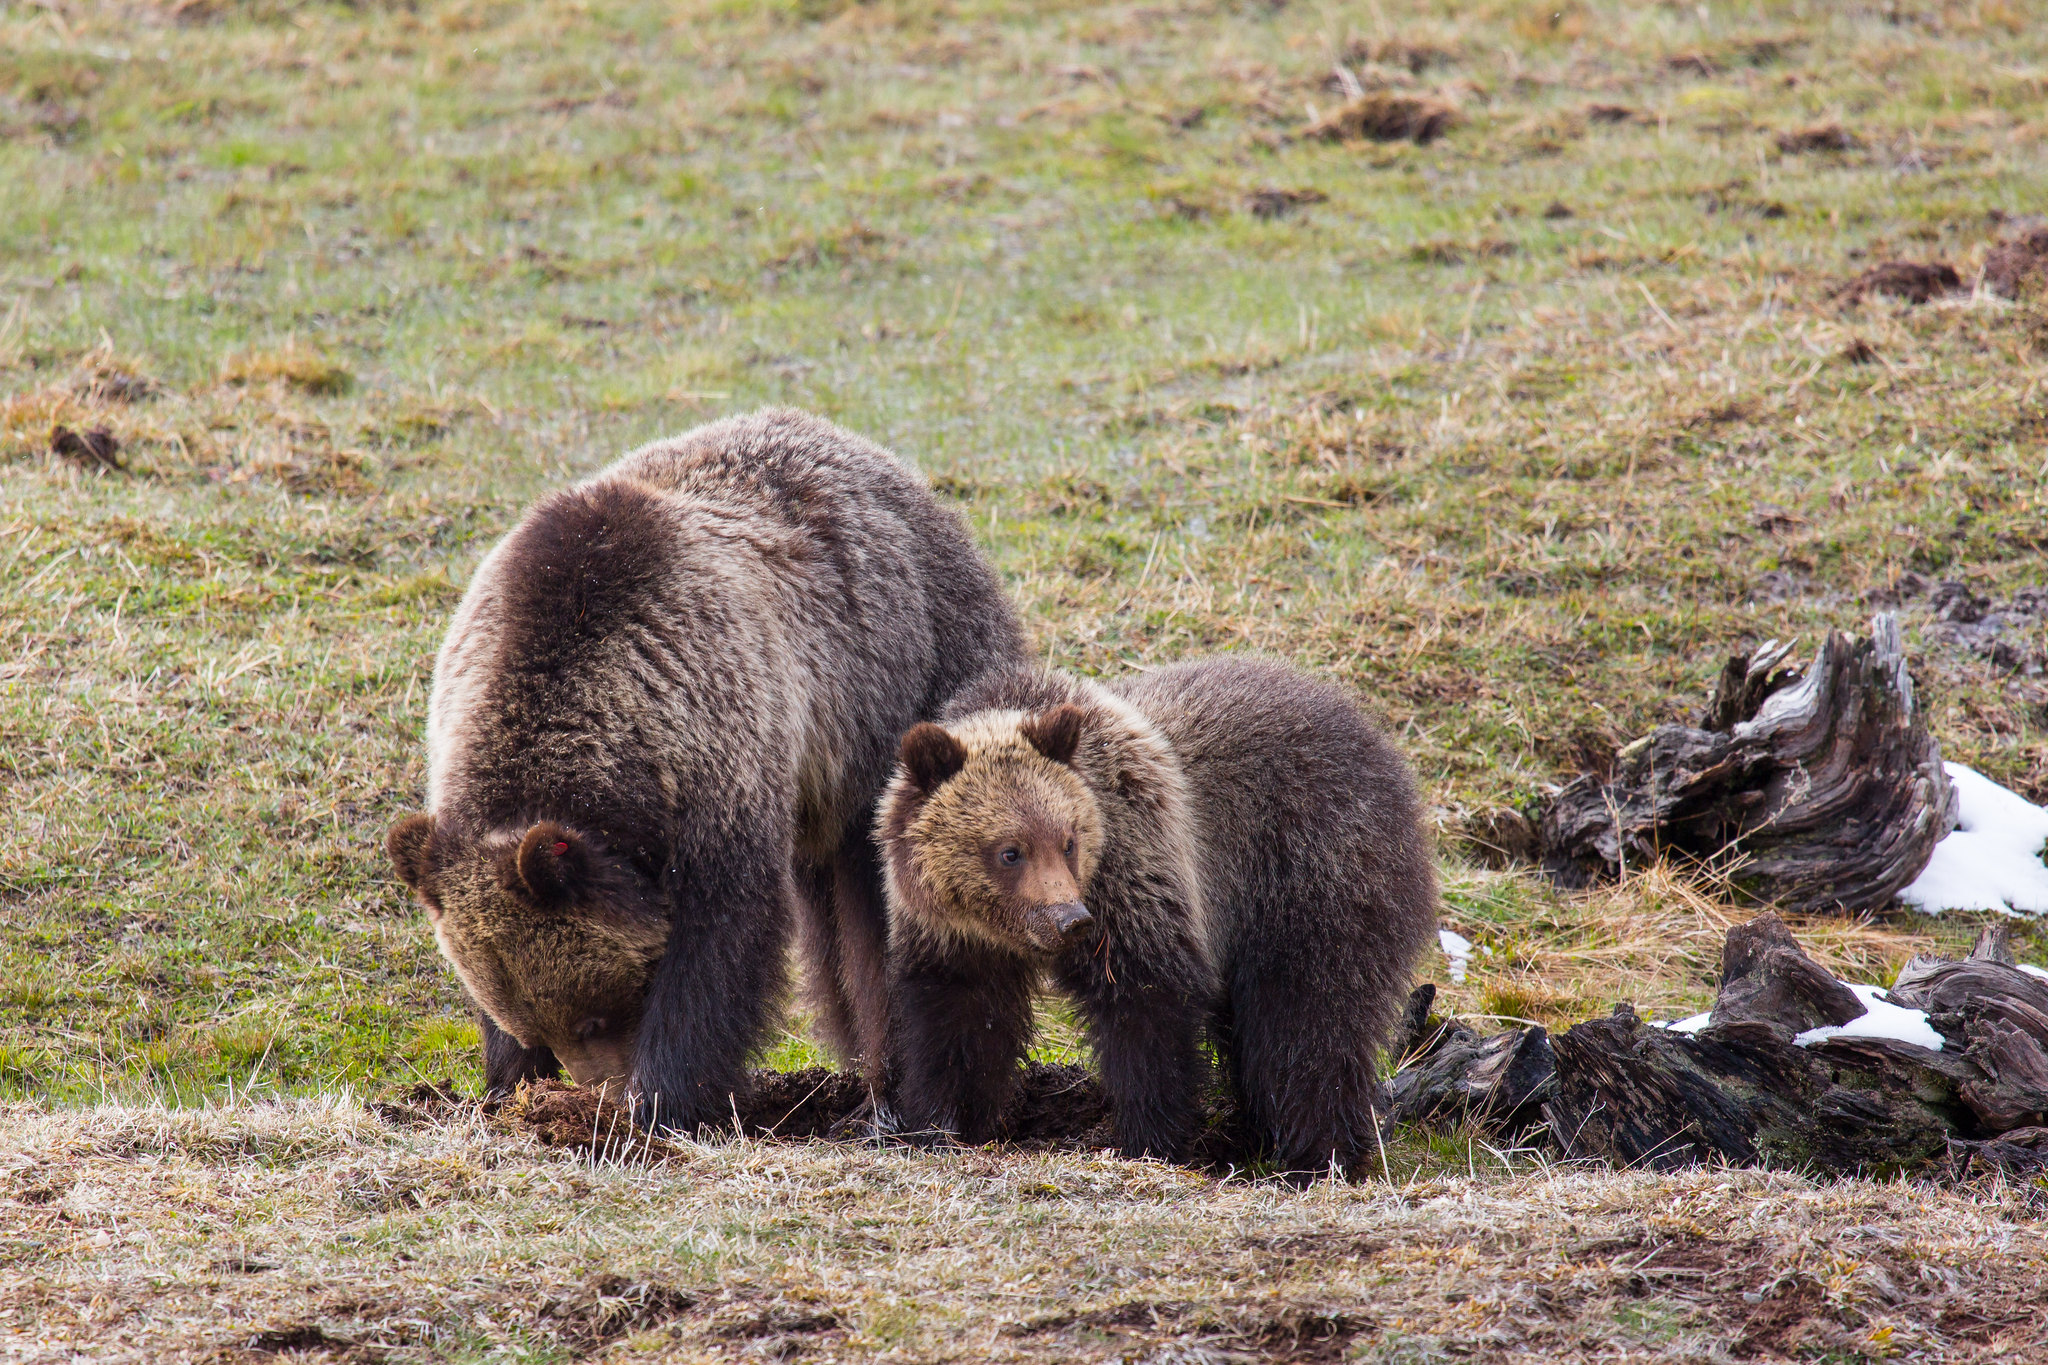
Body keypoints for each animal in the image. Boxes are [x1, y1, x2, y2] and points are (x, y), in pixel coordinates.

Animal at [385, 409, 1024, 1129]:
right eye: (542, 1024)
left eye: (594, 1014)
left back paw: (909, 1094)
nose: (599, 1091)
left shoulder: (715, 744)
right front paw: (511, 1086)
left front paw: (661, 1098)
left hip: (910, 680)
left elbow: (719, 940)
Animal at [880, 654, 1441, 1178]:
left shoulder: (1136, 876)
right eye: (1009, 852)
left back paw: (1320, 1157)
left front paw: (1150, 1142)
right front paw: (943, 1126)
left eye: (1068, 840)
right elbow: (960, 1025)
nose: (1069, 919)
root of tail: (1372, 735)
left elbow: (1147, 1012)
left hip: (1312, 874)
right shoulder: (953, 936)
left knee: (1309, 1020)